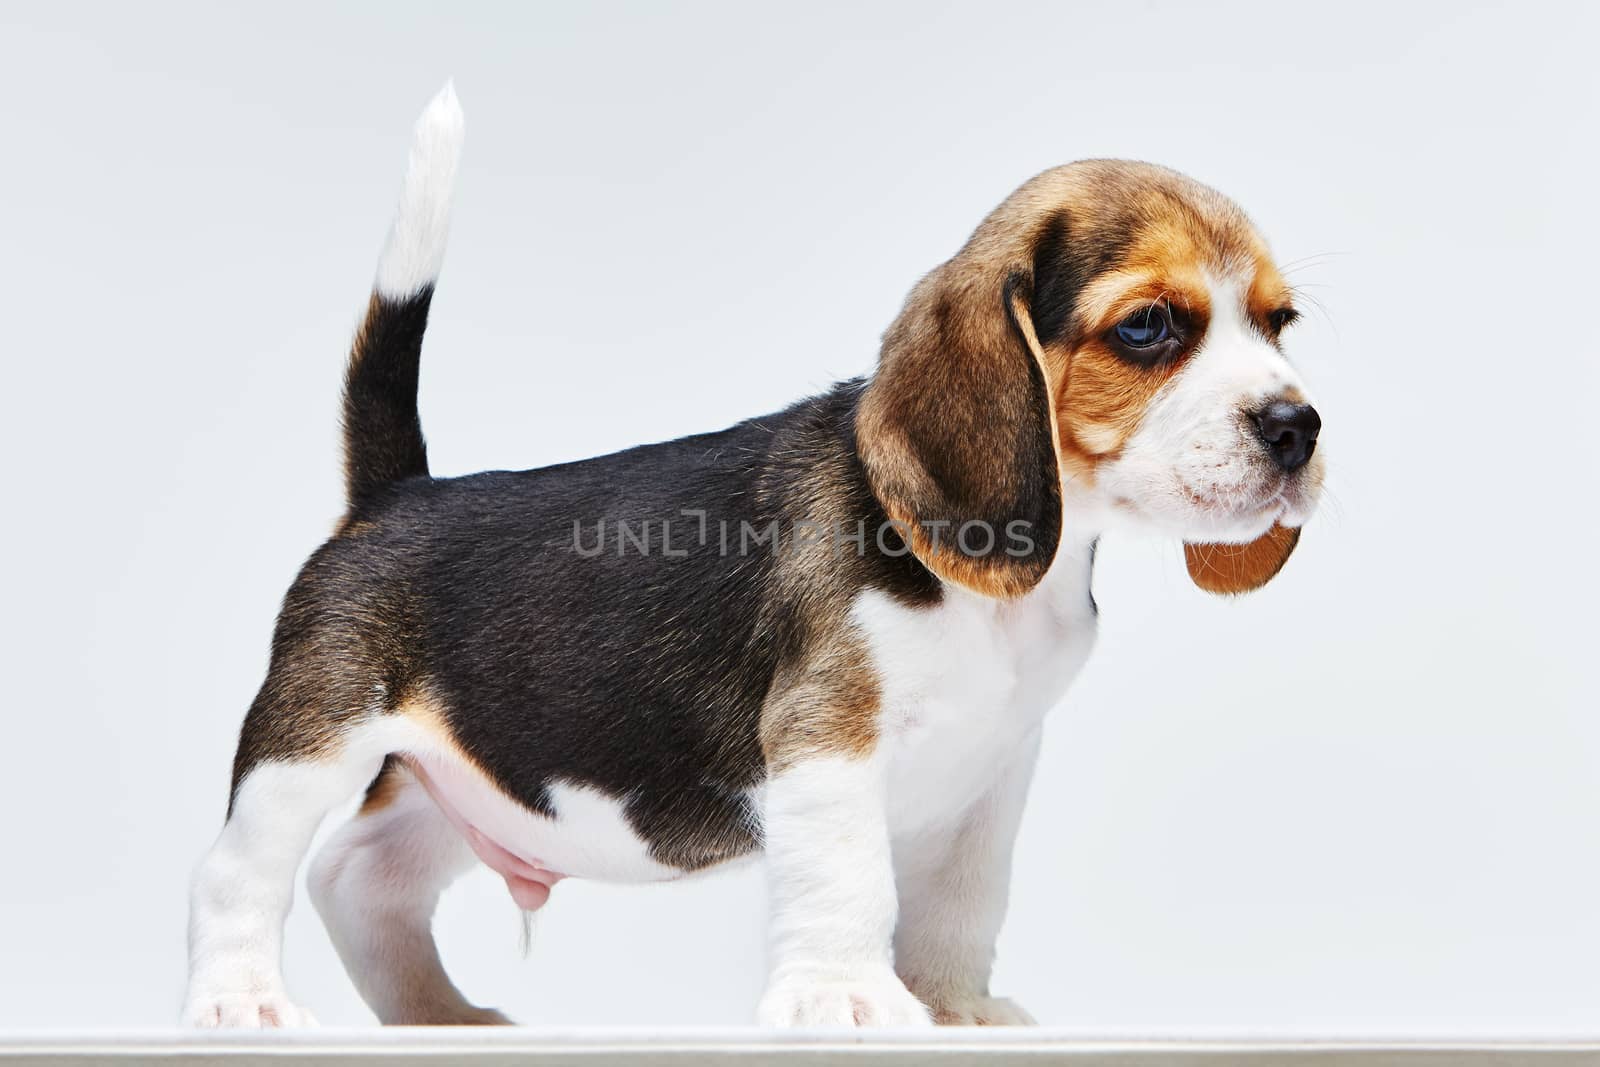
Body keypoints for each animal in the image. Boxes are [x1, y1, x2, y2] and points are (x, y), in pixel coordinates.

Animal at [181, 87, 1324, 1030]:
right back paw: (240, 1001)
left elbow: (963, 897)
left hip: (462, 778)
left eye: (1279, 322)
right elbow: (852, 878)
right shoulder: (826, 737)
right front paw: (846, 999)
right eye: (1148, 326)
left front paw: (955, 1005)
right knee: (240, 871)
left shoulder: (996, 767)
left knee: (357, 875)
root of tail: (397, 495)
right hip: (308, 740)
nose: (1297, 426)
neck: (1000, 590)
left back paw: (439, 1018)